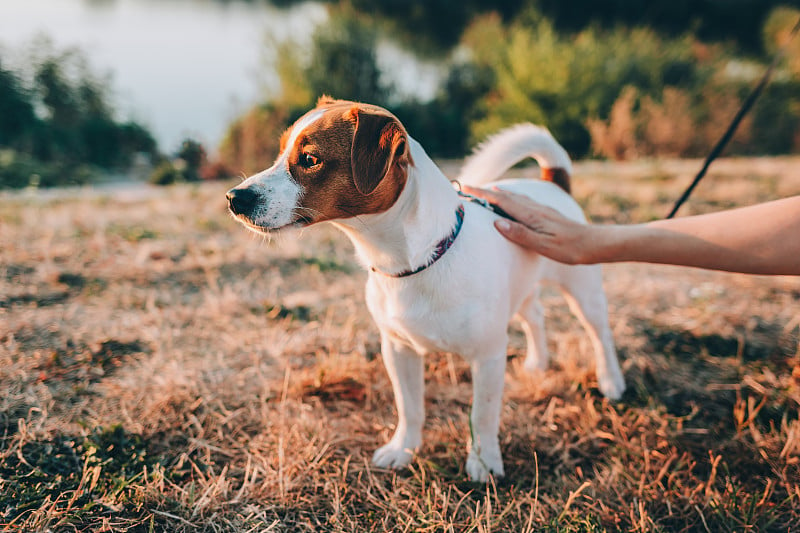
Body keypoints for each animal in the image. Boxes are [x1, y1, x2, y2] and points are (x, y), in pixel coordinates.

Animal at [225, 97, 624, 480]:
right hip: (521, 286)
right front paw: (403, 449)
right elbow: (410, 406)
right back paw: (538, 363)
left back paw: (611, 381)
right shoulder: (398, 349)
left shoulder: (488, 356)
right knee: (535, 317)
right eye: (280, 152)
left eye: (310, 159)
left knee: (599, 334)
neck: (410, 263)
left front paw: (483, 462)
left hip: (582, 288)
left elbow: (482, 416)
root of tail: (551, 181)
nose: (234, 197)